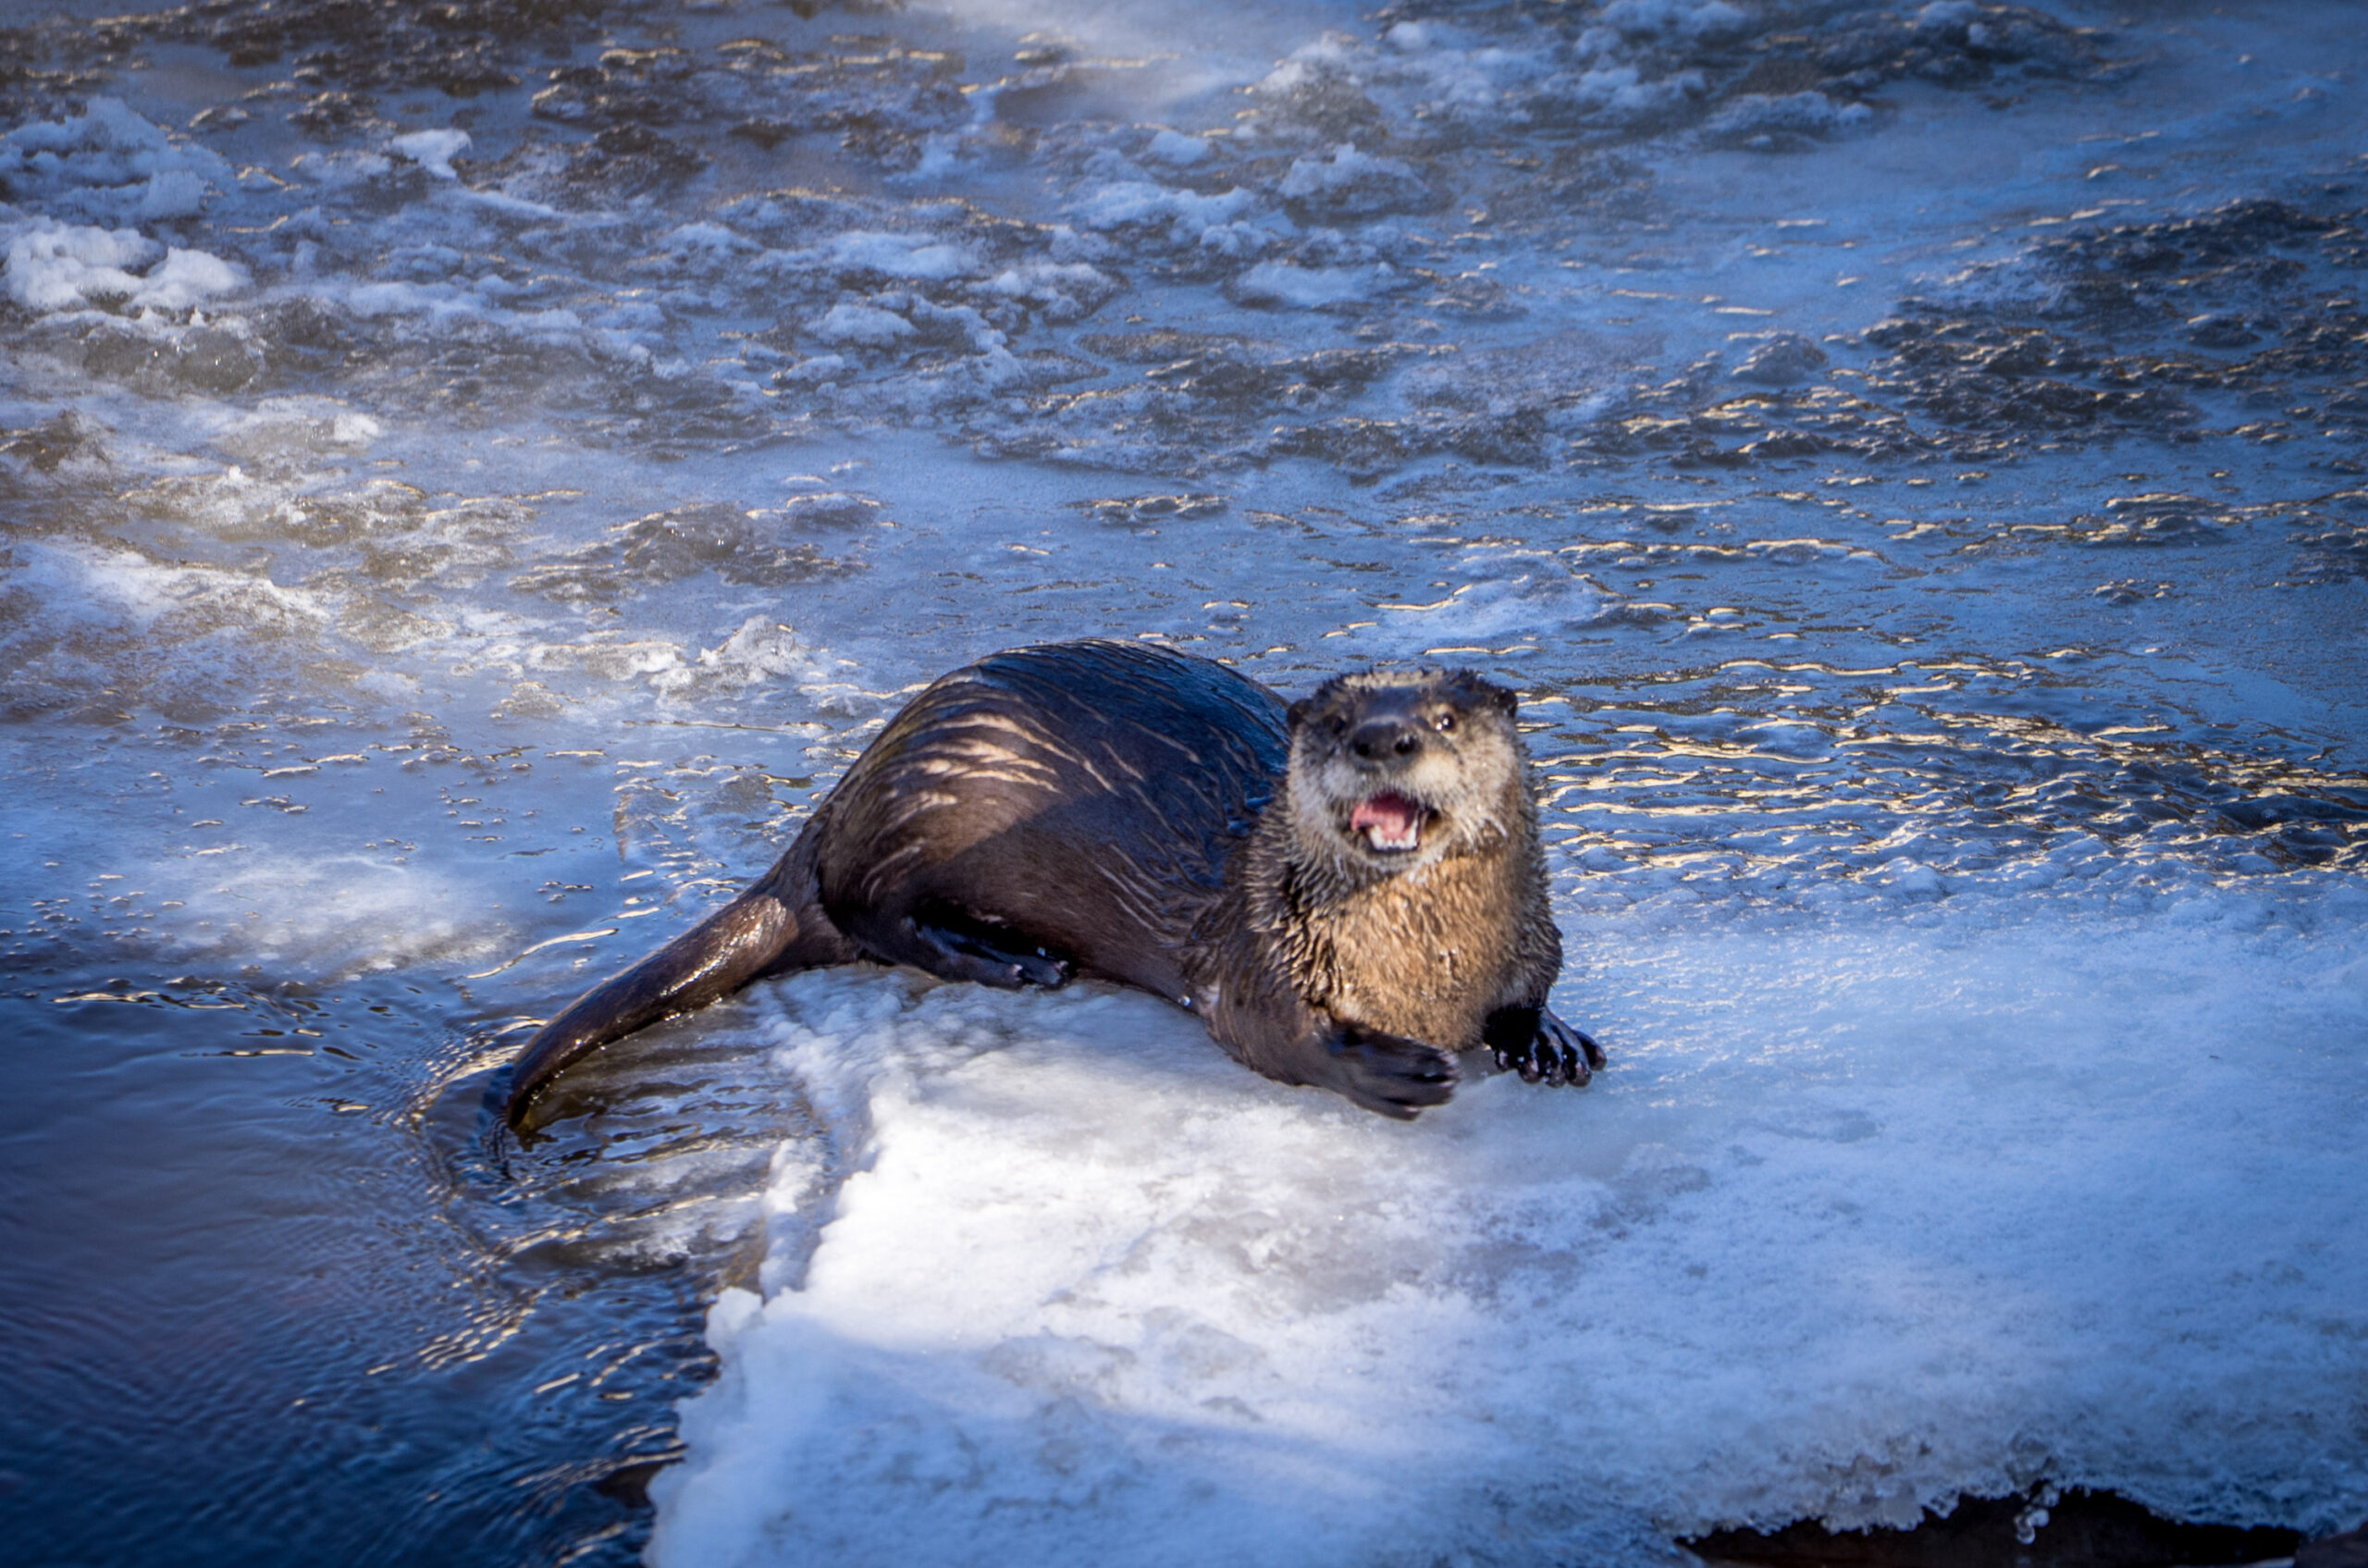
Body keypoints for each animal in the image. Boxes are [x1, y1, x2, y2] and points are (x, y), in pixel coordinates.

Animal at [502, 640, 1602, 1129]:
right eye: (1335, 725)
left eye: (1446, 719)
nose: (1384, 739)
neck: (1432, 970)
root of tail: (847, 784)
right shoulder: (1258, 945)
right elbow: (1272, 1034)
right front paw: (1388, 1070)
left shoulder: (1531, 939)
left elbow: (1533, 992)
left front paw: (1550, 1039)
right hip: (930, 794)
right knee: (865, 908)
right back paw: (1008, 957)